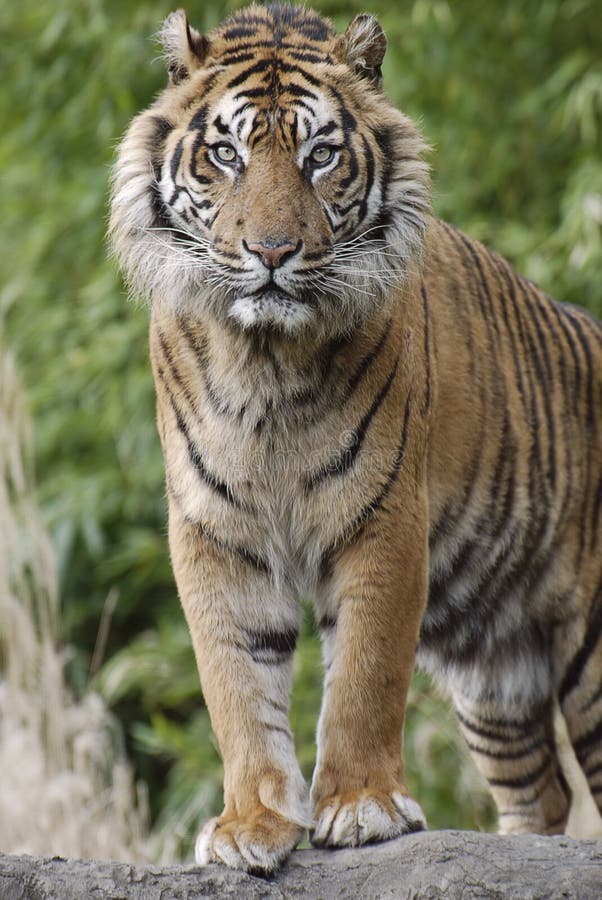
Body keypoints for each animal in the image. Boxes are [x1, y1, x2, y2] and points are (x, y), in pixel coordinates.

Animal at [109, 0, 600, 872]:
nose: (272, 252)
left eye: (321, 155)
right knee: (541, 791)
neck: (265, 361)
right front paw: (250, 824)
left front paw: (363, 807)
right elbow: (235, 683)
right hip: (498, 674)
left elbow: (366, 674)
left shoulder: (383, 516)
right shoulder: (214, 530)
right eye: (226, 154)